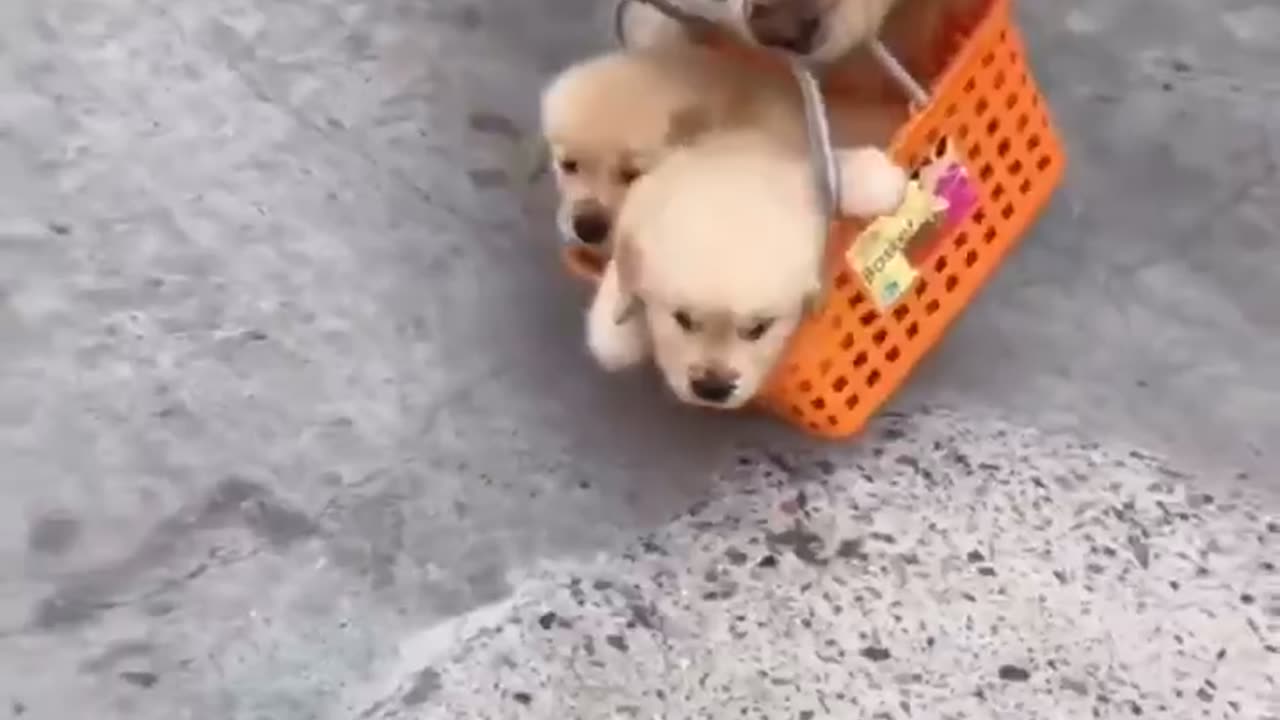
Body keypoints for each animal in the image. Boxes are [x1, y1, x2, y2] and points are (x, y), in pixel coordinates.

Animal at [586, 129, 906, 407]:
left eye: (758, 329)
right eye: (683, 319)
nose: (713, 388)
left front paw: (877, 180)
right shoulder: (640, 202)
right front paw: (615, 323)